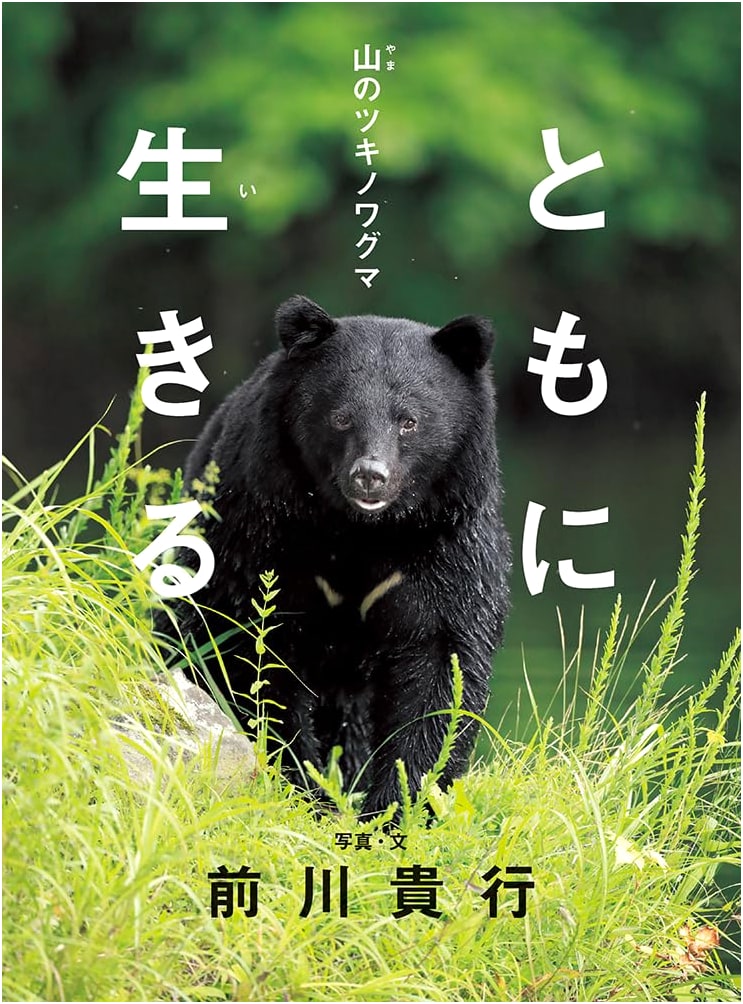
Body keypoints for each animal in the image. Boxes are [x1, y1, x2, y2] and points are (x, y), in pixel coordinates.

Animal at [158, 295, 510, 818]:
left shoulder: (446, 537)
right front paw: (304, 785)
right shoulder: (263, 522)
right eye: (341, 417)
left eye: (409, 421)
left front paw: (397, 802)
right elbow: (255, 642)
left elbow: (441, 657)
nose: (370, 475)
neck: (359, 531)